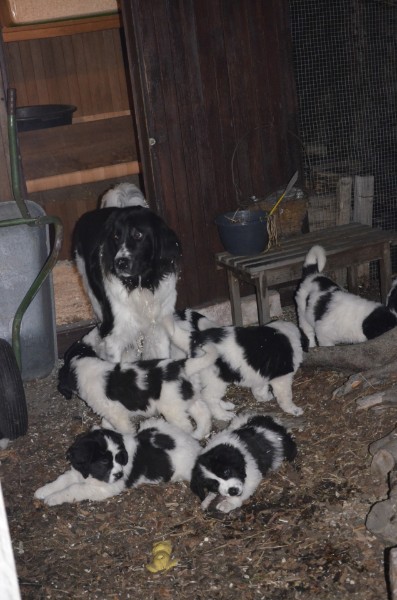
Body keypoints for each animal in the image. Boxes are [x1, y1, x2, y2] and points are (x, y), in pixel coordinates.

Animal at [35, 418, 200, 506]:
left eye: (119, 458)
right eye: (104, 461)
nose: (120, 475)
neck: (92, 475)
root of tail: (195, 444)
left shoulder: (105, 488)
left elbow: (74, 488)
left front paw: (53, 498)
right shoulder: (79, 471)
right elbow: (63, 479)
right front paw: (43, 491)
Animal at [58, 330, 217, 438]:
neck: (83, 364)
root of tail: (182, 366)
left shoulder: (117, 415)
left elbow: (124, 429)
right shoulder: (111, 413)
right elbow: (106, 423)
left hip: (172, 409)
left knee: (186, 425)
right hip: (189, 398)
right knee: (203, 414)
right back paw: (199, 434)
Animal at [72, 182, 181, 360]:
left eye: (138, 235)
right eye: (116, 237)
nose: (120, 263)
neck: (140, 284)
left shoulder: (159, 327)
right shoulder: (114, 335)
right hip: (92, 294)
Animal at [162, 316, 304, 420]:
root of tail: (195, 339)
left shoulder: (258, 373)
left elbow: (259, 387)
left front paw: (263, 397)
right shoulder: (283, 378)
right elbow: (285, 396)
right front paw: (294, 409)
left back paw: (225, 406)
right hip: (215, 379)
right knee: (209, 397)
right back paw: (223, 415)